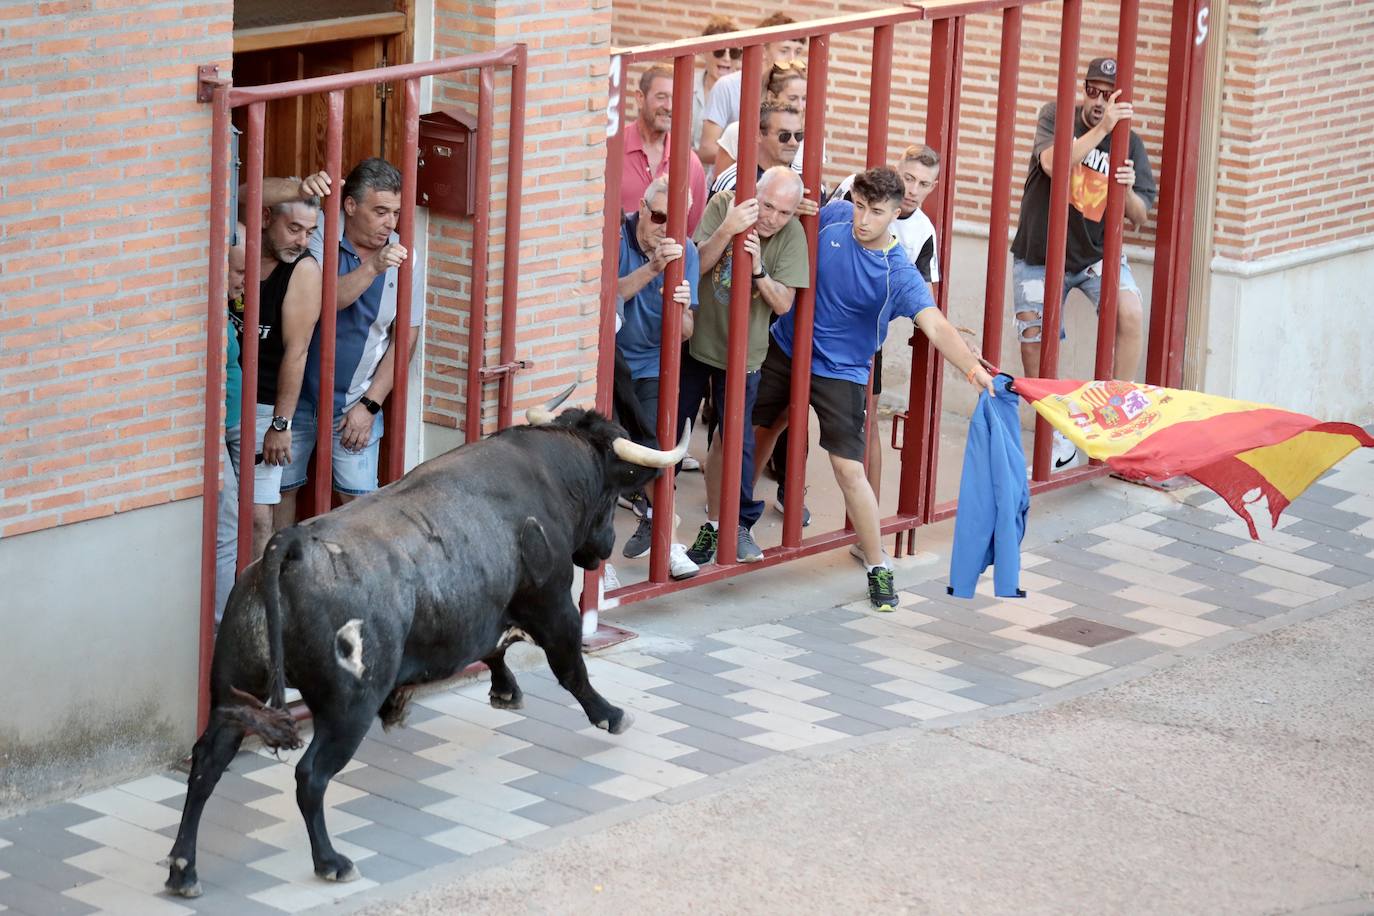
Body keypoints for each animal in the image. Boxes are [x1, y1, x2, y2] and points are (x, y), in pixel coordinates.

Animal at [166, 390, 681, 900]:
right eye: (614, 491)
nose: (605, 546)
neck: (548, 472)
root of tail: (287, 546)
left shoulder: (480, 606)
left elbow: (491, 645)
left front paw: (504, 690)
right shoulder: (553, 602)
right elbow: (570, 667)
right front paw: (610, 714)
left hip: (234, 690)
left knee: (207, 763)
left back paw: (183, 869)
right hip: (347, 707)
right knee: (310, 776)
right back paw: (330, 862)